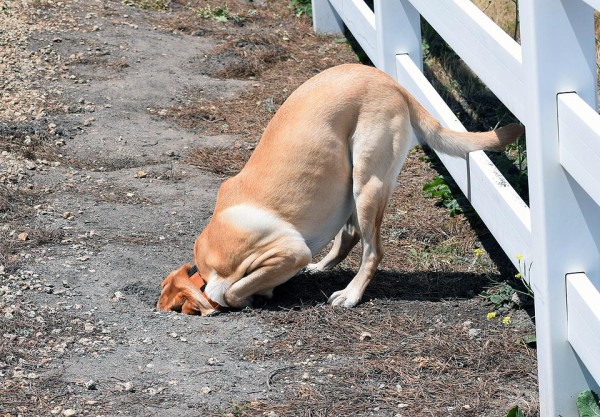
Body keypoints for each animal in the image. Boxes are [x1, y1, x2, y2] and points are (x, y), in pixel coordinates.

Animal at [157, 63, 524, 314]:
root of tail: (390, 81)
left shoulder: (287, 251)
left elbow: (231, 291)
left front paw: (248, 296)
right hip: (349, 184)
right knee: (349, 234)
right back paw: (322, 268)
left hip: (367, 181)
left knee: (372, 250)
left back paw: (351, 293)